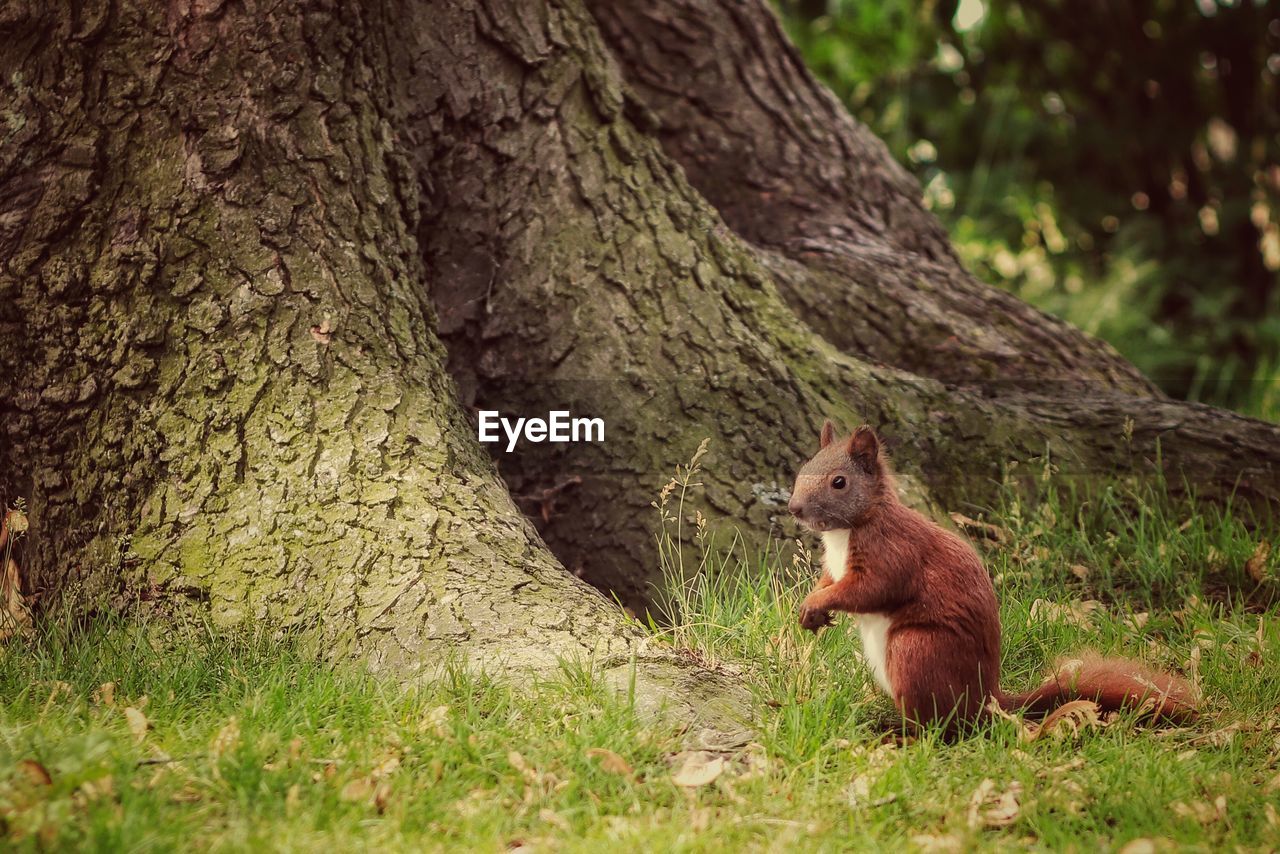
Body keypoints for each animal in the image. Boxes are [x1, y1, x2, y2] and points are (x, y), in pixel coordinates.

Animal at [783, 419, 1192, 737]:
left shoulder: (893, 555)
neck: (847, 531)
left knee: (941, 727)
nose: (794, 508)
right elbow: (829, 582)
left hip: (917, 651)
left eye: (839, 482)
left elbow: (869, 590)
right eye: (804, 467)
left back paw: (899, 735)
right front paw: (811, 608)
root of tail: (986, 700)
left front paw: (817, 604)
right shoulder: (834, 566)